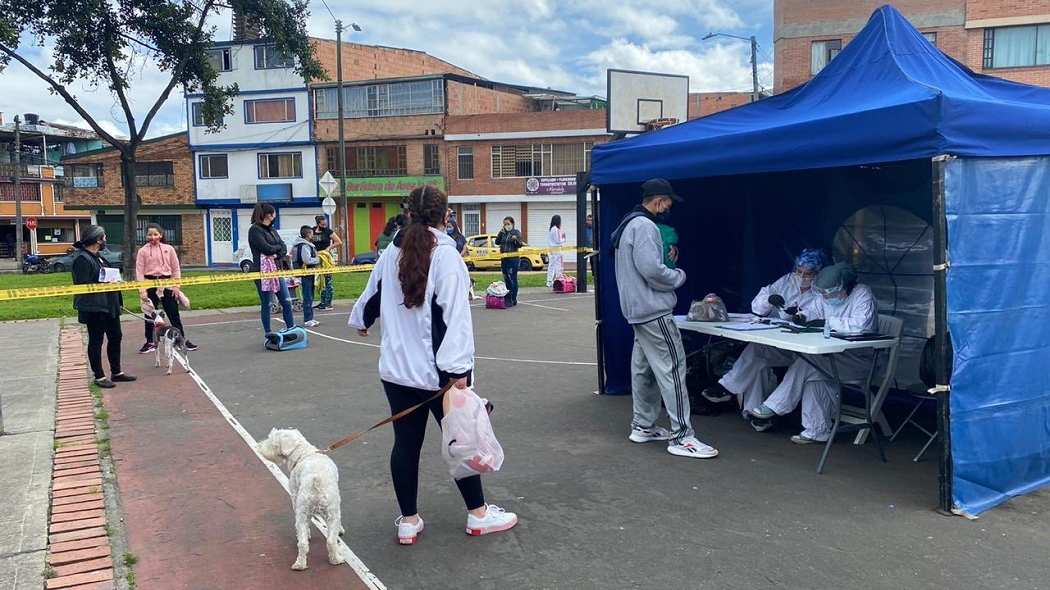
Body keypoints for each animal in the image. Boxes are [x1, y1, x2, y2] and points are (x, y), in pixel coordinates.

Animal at [256, 426, 346, 571]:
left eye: (272, 441)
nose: (259, 445)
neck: (303, 453)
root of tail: (316, 480)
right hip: (321, 512)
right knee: (326, 541)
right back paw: (333, 560)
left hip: (306, 513)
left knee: (306, 543)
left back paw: (302, 564)